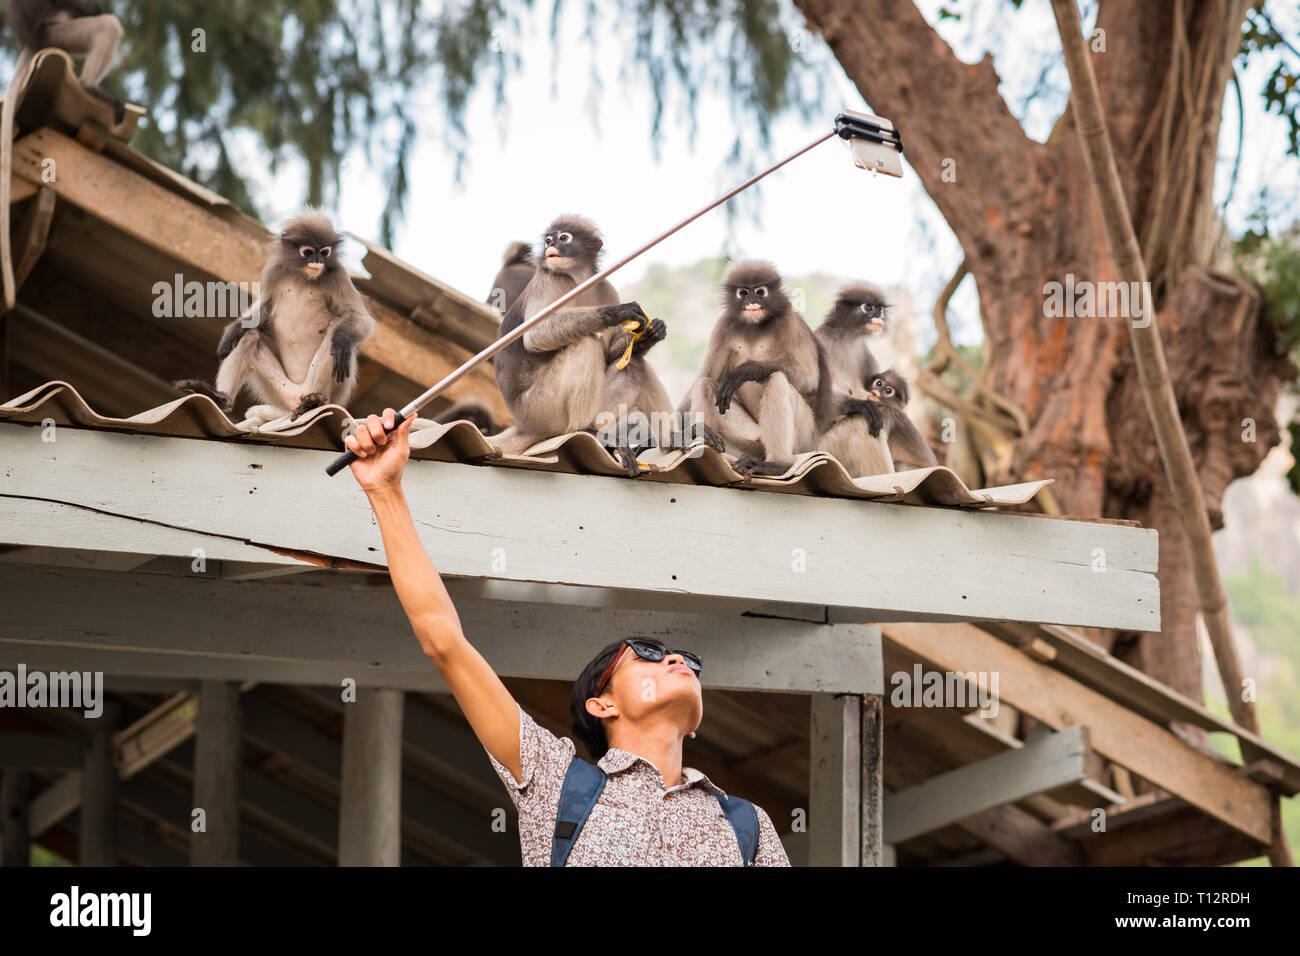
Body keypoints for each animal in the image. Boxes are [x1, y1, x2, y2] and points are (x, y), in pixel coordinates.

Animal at [174, 210, 377, 424]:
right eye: (308, 252)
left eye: (324, 252)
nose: (318, 261)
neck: (303, 277)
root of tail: (297, 395)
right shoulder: (274, 270)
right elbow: (263, 306)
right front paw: (235, 329)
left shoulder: (338, 275)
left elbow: (362, 319)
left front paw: (342, 340)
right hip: (278, 392)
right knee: (250, 337)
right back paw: (219, 398)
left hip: (330, 391)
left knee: (335, 336)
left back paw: (314, 403)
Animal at [691, 260, 832, 476]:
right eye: (743, 292)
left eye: (760, 291)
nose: (752, 301)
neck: (755, 325)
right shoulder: (723, 326)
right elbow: (707, 376)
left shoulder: (790, 321)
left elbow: (809, 378)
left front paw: (747, 370)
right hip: (752, 440)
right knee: (706, 383)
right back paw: (706, 435)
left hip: (803, 436)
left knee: (776, 378)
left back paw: (776, 464)